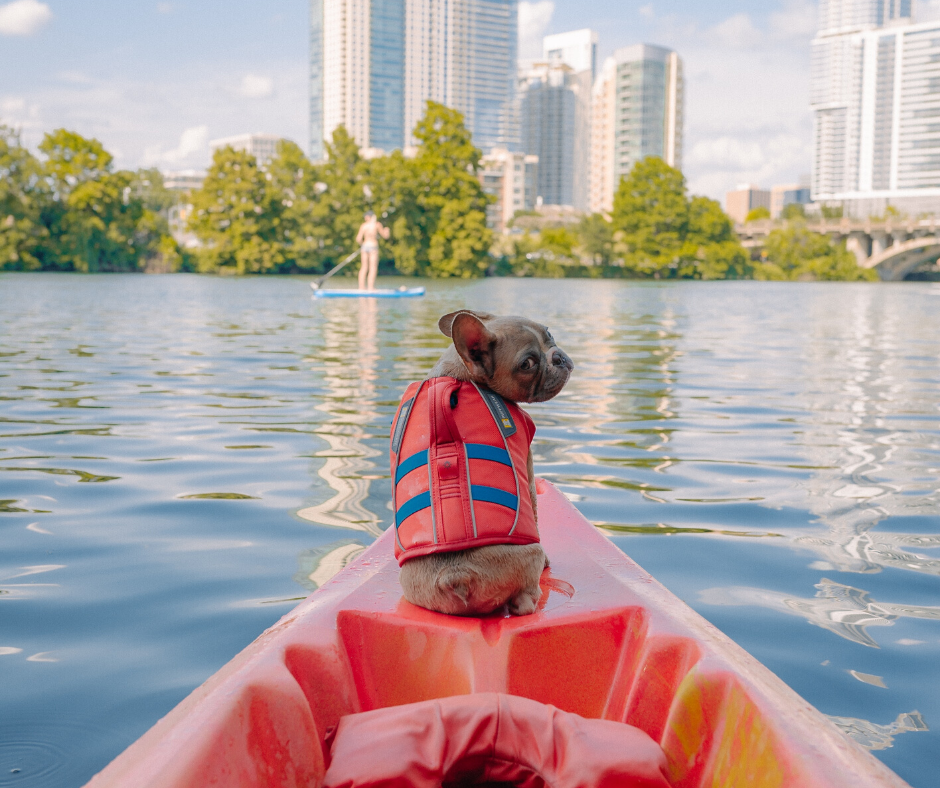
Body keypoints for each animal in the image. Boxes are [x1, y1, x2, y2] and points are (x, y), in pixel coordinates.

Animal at [390, 310, 572, 620]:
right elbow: (535, 510)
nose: (557, 356)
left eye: (550, 334)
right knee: (524, 600)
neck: (459, 373)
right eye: (527, 364)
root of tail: (456, 575)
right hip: (529, 555)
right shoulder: (527, 463)